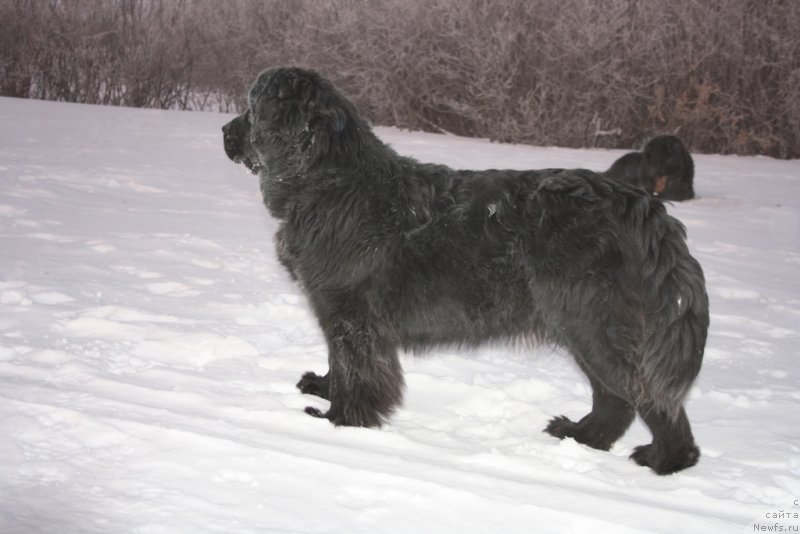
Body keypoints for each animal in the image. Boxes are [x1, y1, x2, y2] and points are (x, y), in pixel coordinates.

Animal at [222, 68, 708, 478]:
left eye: (252, 106)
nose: (225, 131)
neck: (329, 180)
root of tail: (643, 208)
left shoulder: (351, 311)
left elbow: (356, 368)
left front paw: (340, 420)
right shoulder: (335, 309)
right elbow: (337, 362)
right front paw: (324, 390)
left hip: (594, 324)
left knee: (647, 395)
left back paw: (665, 460)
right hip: (583, 326)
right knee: (617, 399)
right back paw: (580, 436)